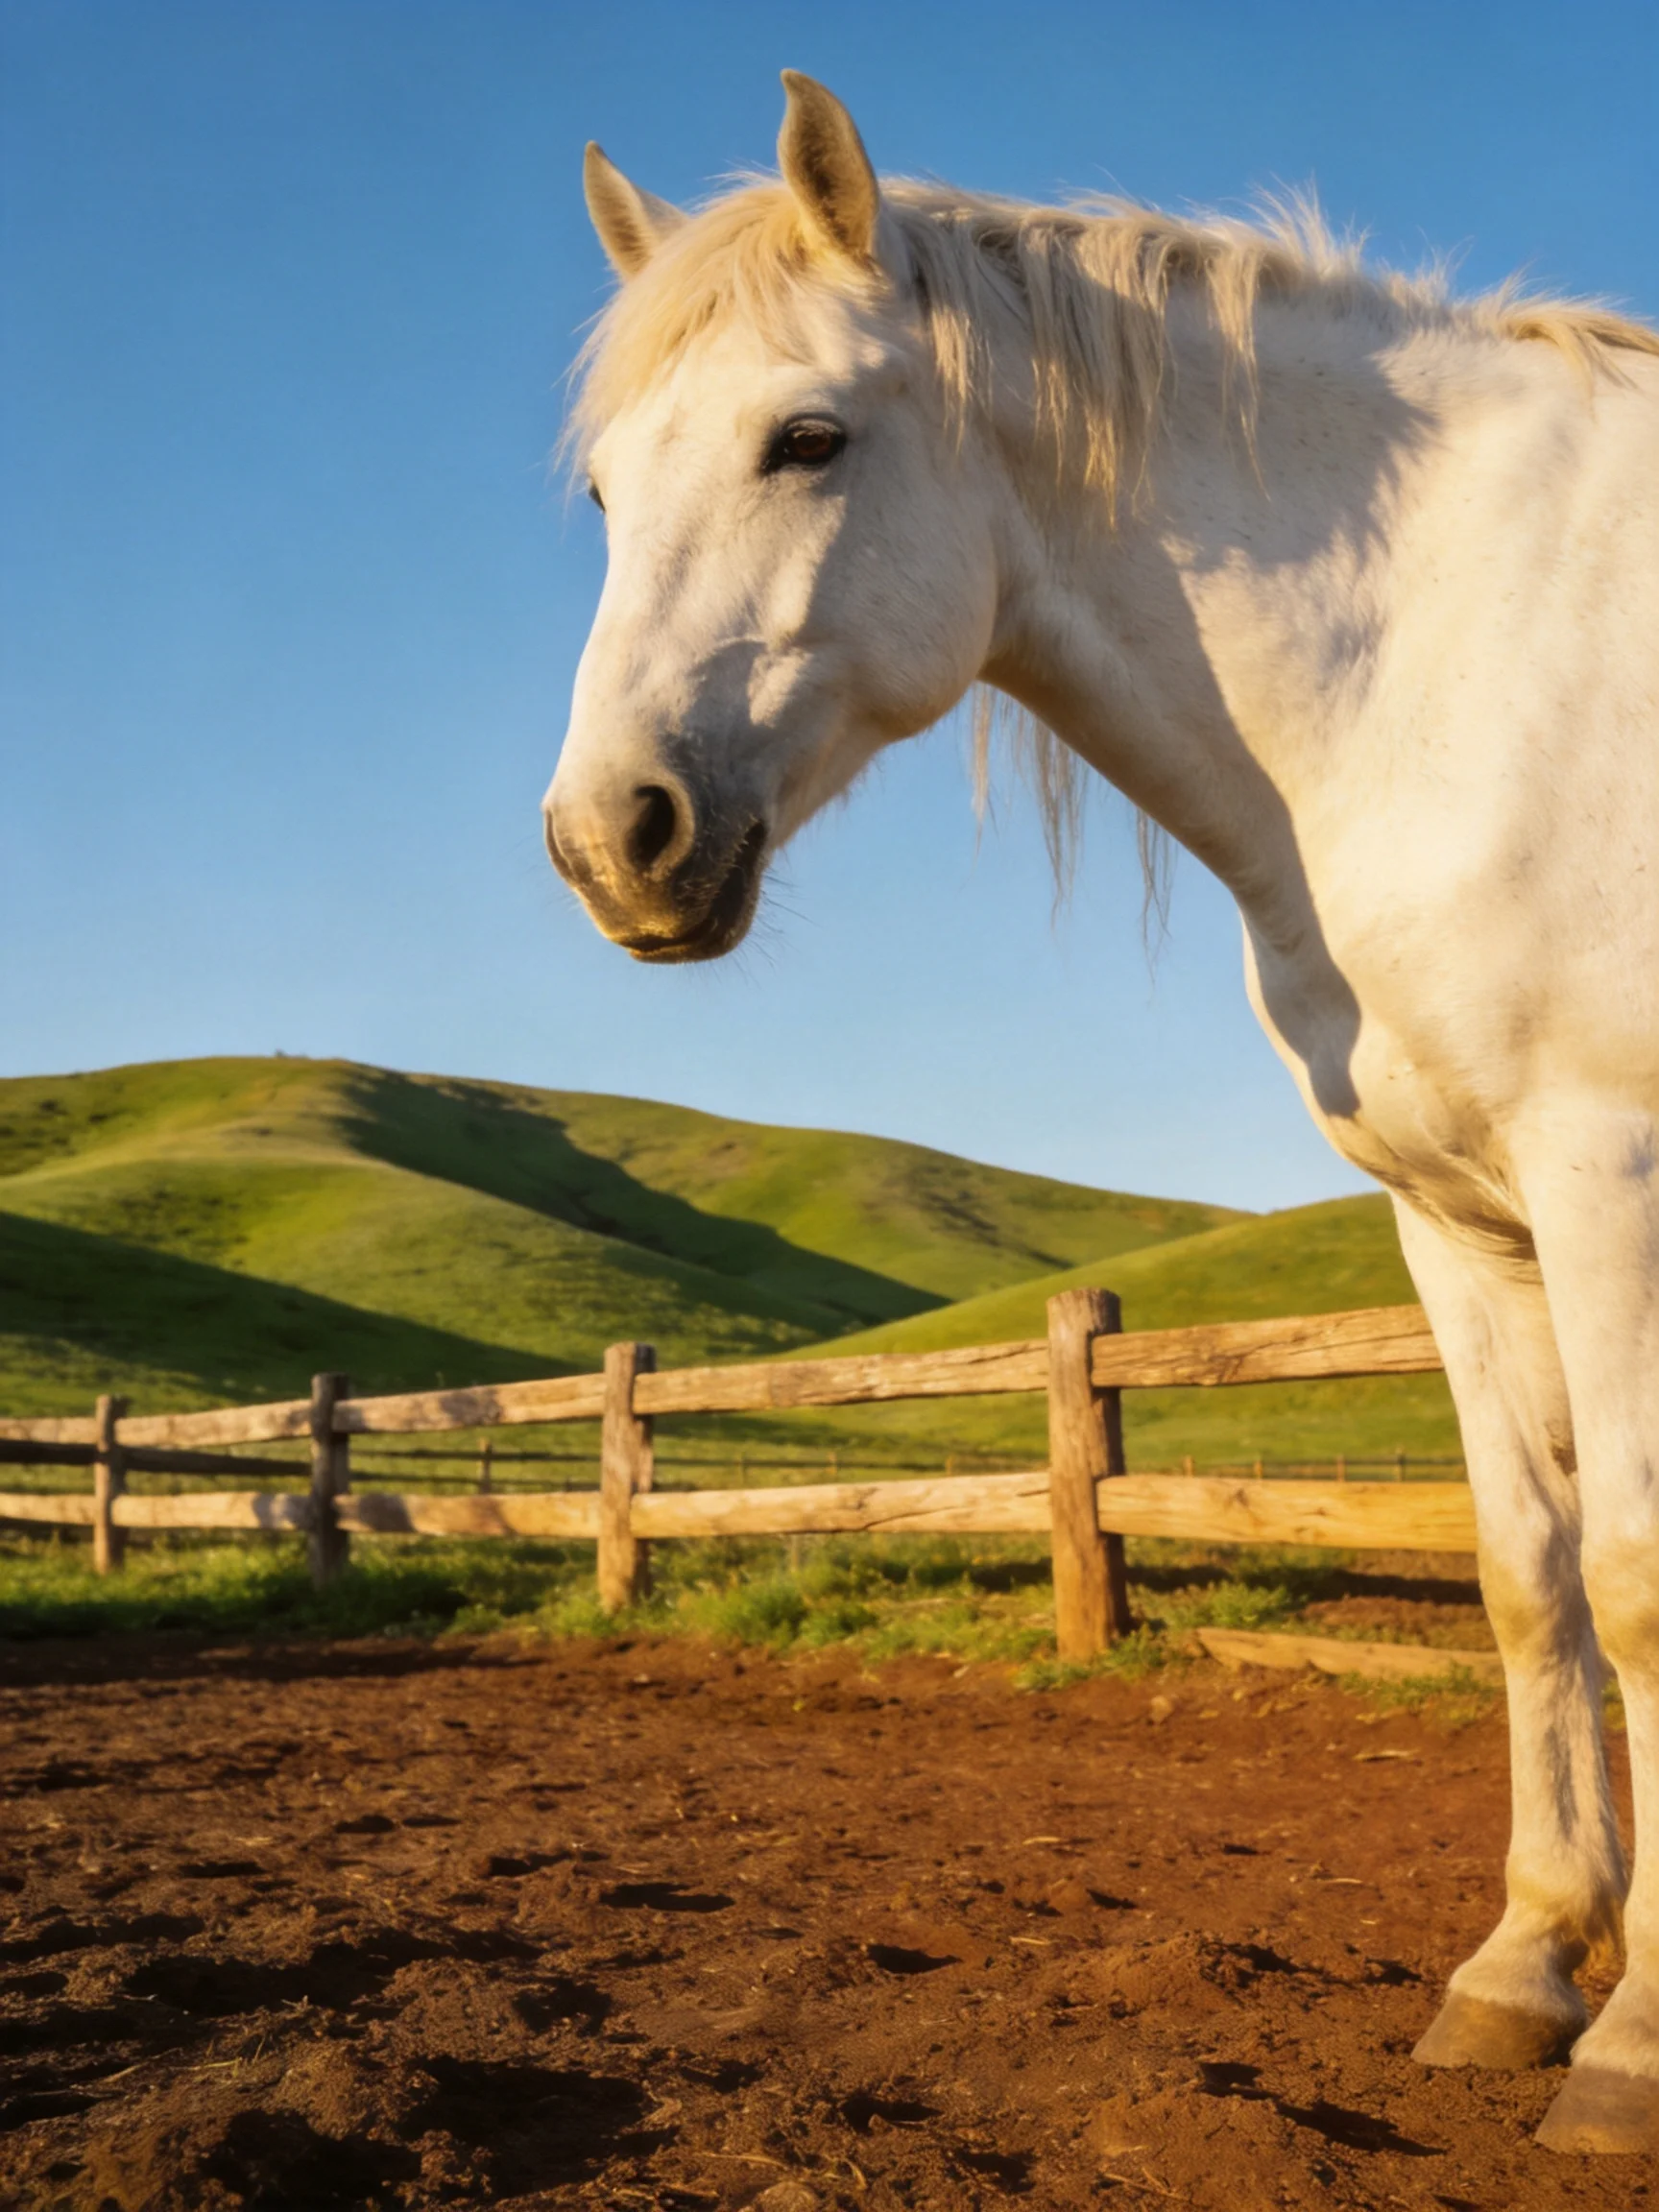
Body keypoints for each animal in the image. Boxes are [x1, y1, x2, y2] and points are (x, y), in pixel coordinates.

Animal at [543, 72, 1659, 2155]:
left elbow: (1628, 1575)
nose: (608, 840)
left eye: (806, 438)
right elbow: (1527, 1578)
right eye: (602, 493)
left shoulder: (1606, 1176)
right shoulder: (1460, 1218)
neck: (1458, 658)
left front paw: (1627, 2050)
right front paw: (1523, 1972)